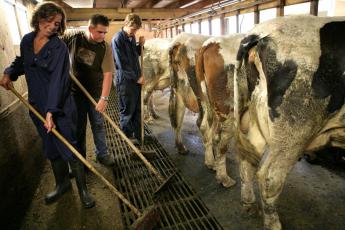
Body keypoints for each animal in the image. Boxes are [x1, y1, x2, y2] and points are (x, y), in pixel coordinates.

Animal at [234, 15, 344, 229]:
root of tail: (257, 33)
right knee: (269, 176)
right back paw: (273, 223)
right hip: (295, 131)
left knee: (247, 161)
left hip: (255, 121)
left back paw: (249, 204)